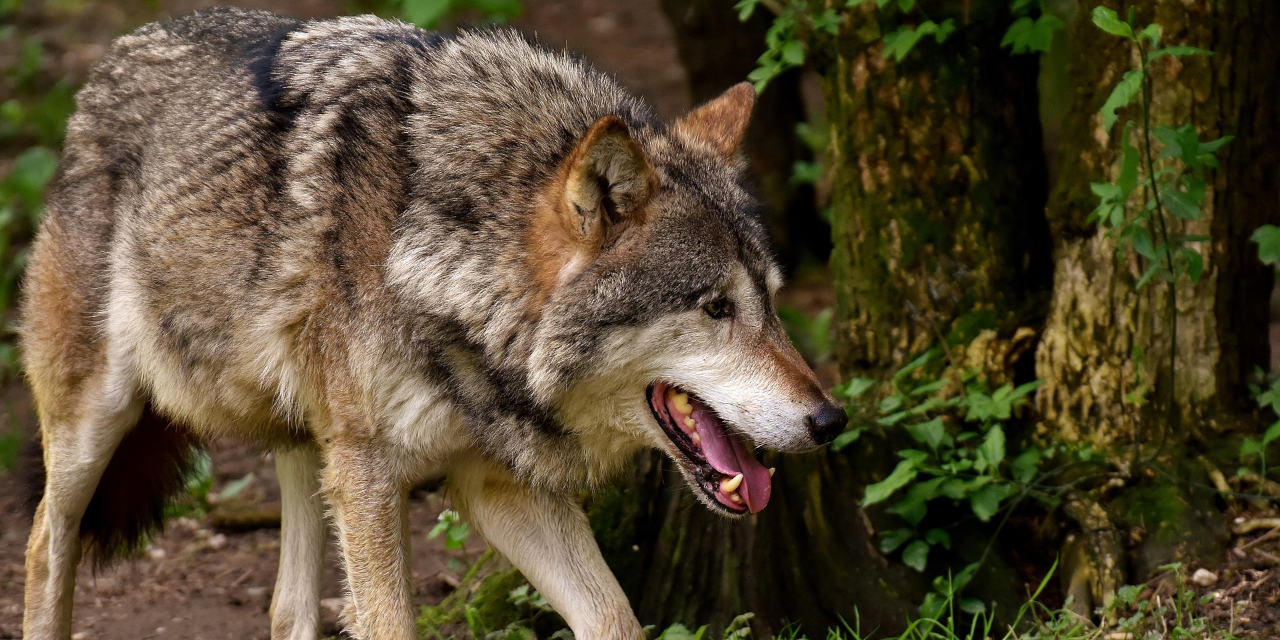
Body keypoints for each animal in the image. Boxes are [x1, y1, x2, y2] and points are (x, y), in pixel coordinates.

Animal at [20, 8, 847, 640]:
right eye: (715, 307)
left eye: (772, 301)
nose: (831, 420)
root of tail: (115, 55)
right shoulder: (371, 477)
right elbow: (391, 624)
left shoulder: (495, 483)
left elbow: (616, 617)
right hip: (99, 423)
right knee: (42, 547)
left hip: (309, 447)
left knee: (287, 611)